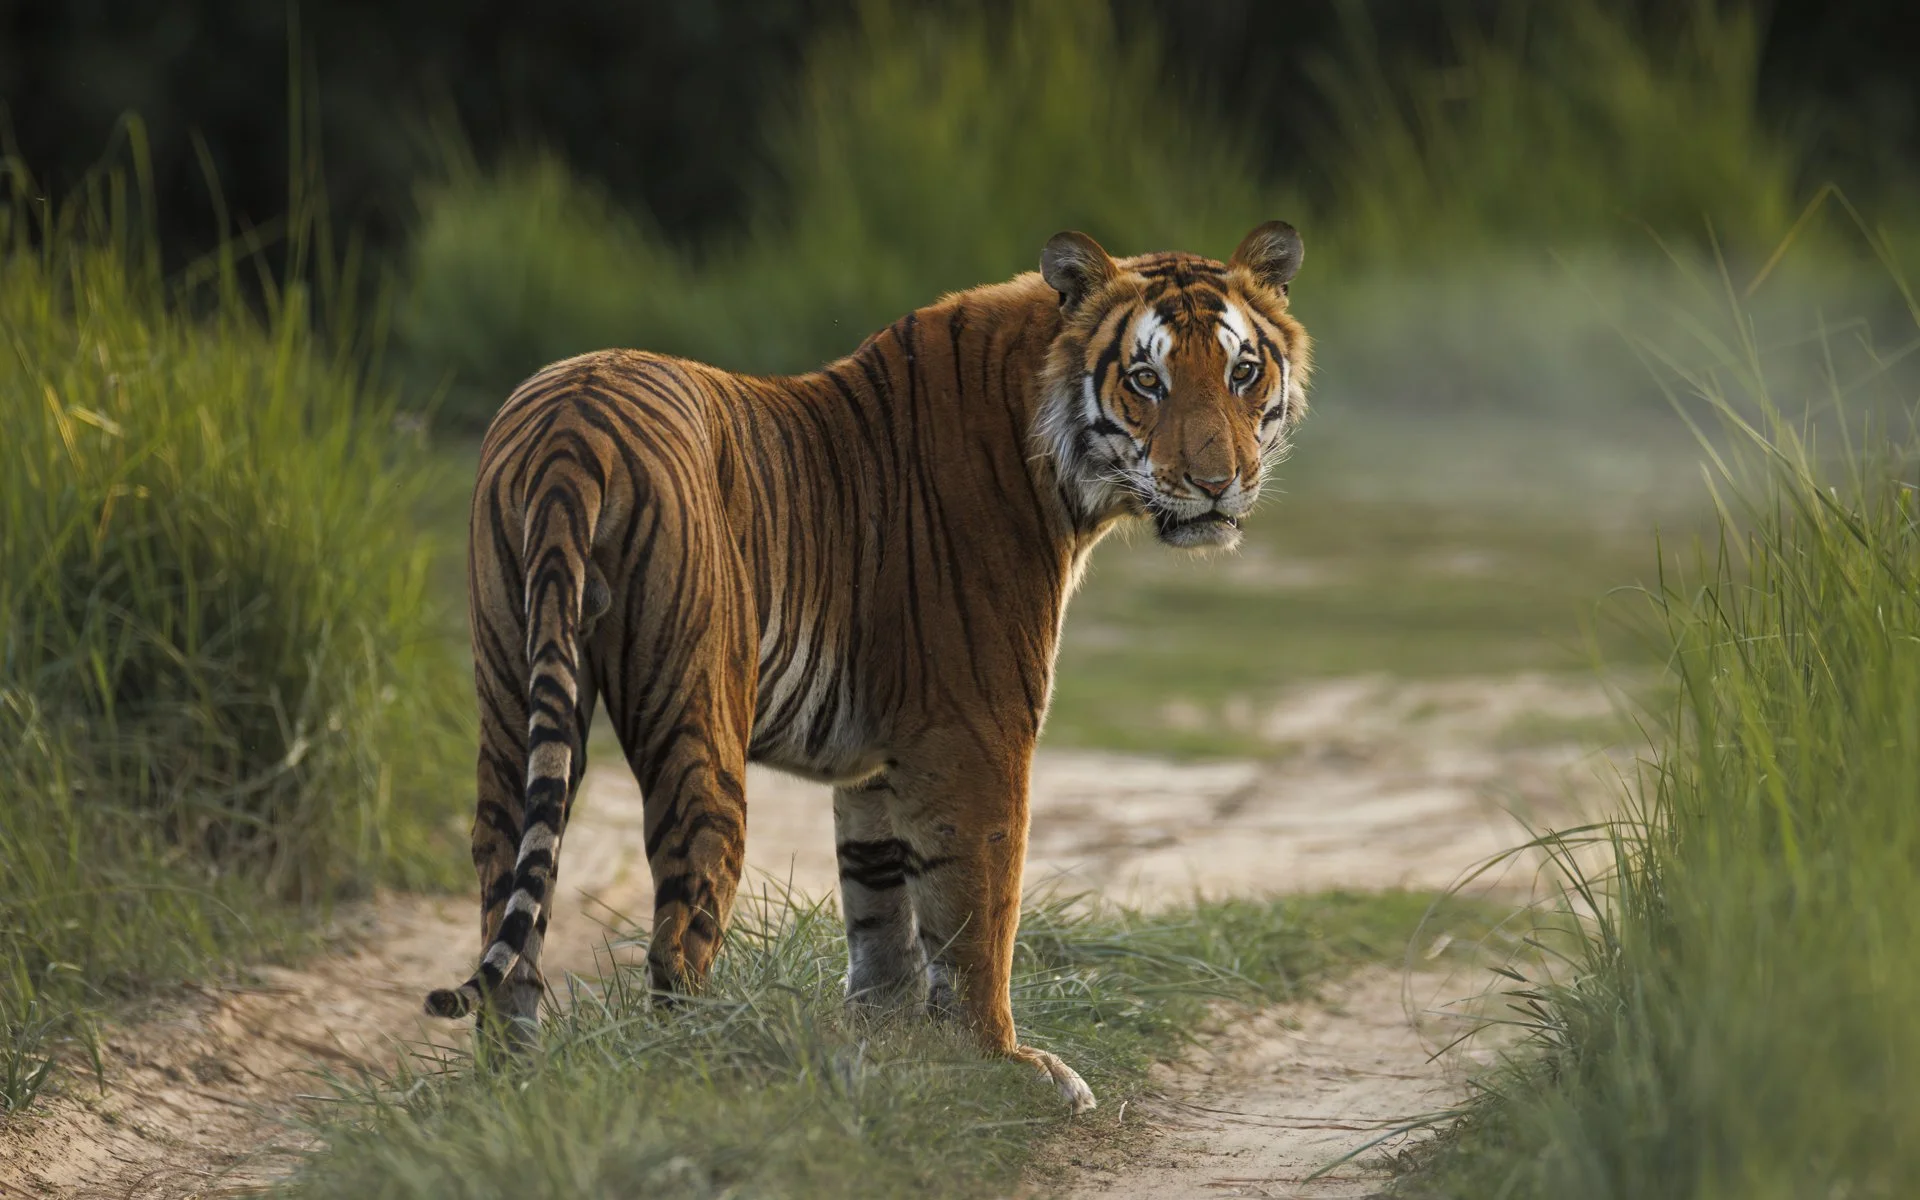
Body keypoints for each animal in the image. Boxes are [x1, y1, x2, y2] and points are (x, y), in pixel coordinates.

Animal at [425, 222, 1311, 1113]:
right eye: (1145, 380)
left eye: (1241, 372)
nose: (1216, 485)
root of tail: (572, 426)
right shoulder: (977, 734)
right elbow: (978, 910)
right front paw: (1003, 1065)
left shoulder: (880, 759)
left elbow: (881, 909)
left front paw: (884, 1045)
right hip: (697, 727)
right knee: (677, 941)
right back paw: (699, 1075)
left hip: (517, 695)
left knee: (509, 907)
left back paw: (512, 1089)